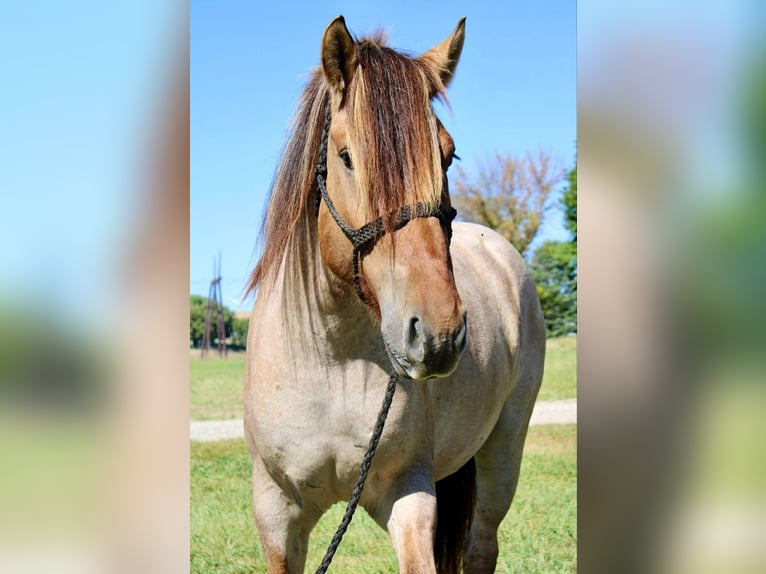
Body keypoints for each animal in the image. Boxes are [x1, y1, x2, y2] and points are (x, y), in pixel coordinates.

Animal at [244, 16, 545, 574]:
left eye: (449, 154)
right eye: (346, 157)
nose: (439, 334)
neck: (332, 360)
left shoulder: (409, 492)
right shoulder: (275, 512)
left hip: (505, 449)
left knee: (482, 545)